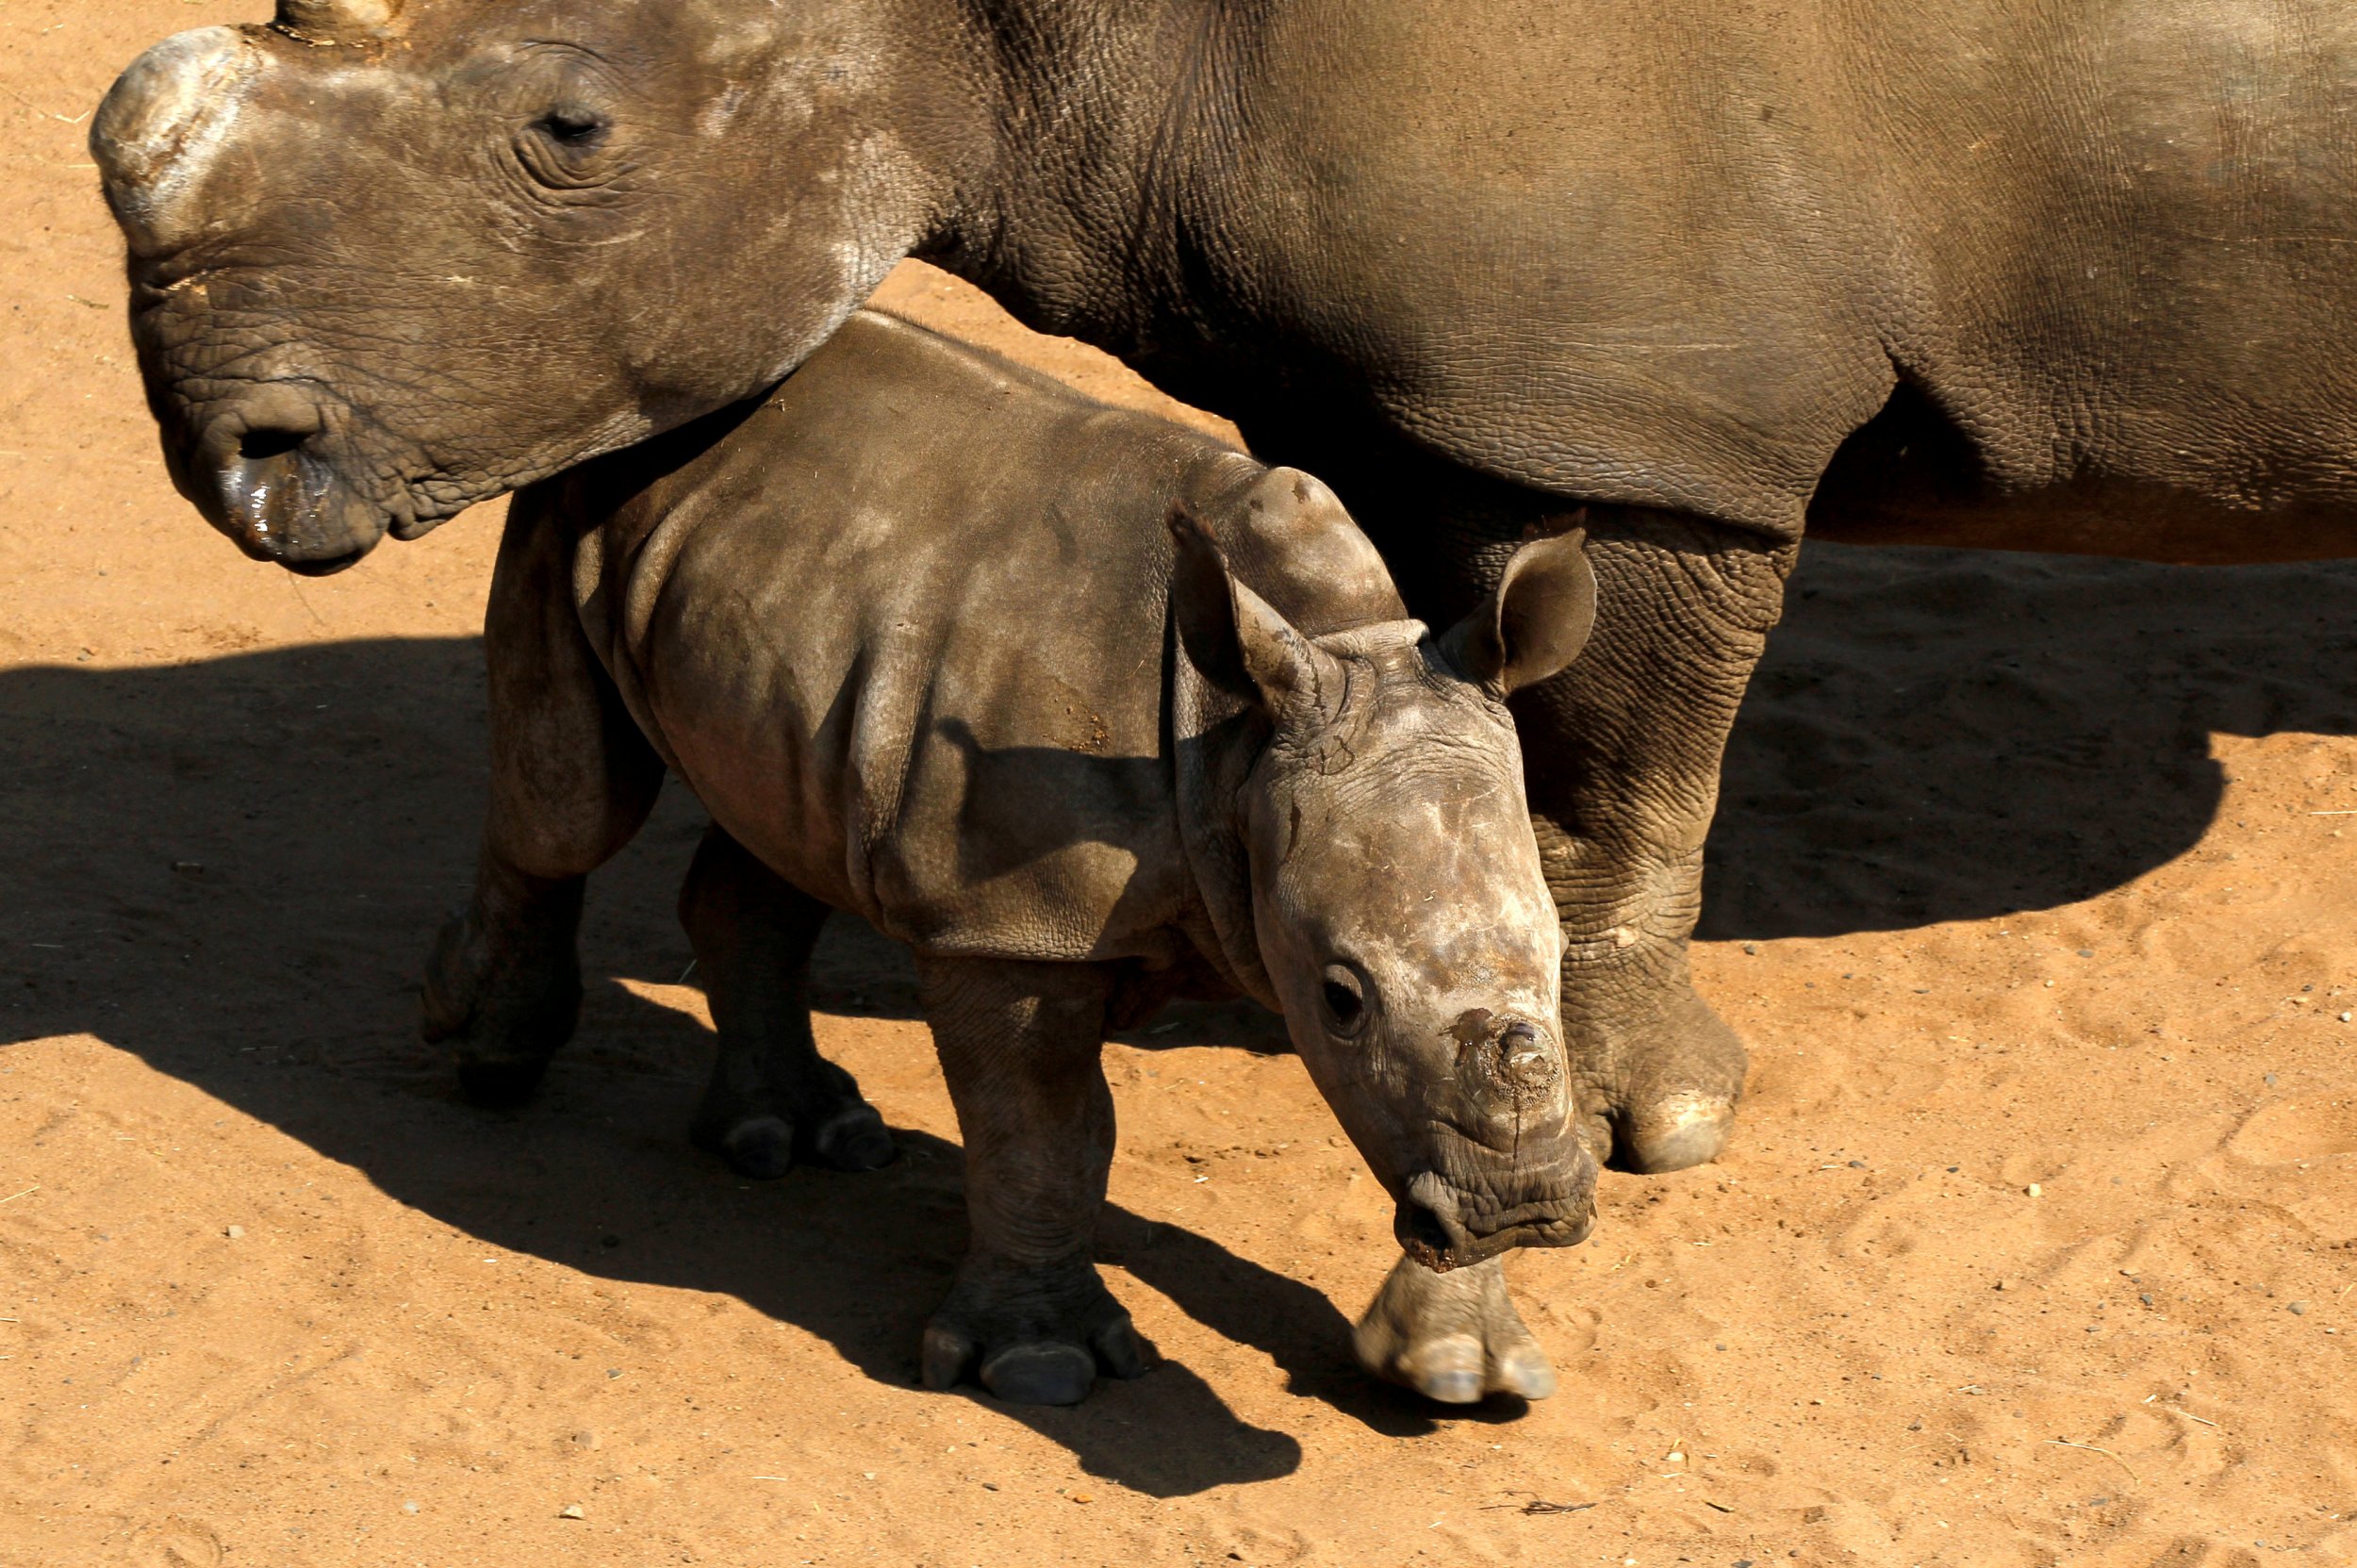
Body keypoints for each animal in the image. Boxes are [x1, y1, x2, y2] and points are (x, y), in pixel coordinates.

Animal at [426, 308, 1603, 1405]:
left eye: (1557, 961)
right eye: (1339, 997)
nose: (1531, 1204)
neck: (1239, 734)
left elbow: (1433, 1093)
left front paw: (1460, 1366)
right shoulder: (1010, 922)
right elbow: (1045, 1131)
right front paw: (1041, 1368)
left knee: (776, 828)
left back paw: (794, 1137)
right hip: (579, 490)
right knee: (575, 805)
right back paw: (490, 1064)